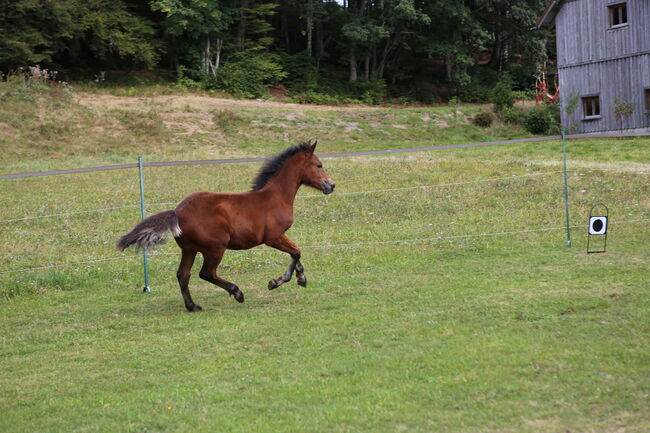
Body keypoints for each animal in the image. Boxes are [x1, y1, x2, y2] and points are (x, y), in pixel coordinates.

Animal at [117, 139, 336, 310]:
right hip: (215, 248)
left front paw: (300, 278)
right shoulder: (274, 237)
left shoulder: (279, 237)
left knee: (183, 275)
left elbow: (295, 253)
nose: (331, 185)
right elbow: (296, 251)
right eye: (318, 165)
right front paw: (278, 282)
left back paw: (193, 306)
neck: (276, 196)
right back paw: (237, 292)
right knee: (206, 273)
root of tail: (178, 212)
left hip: (189, 249)